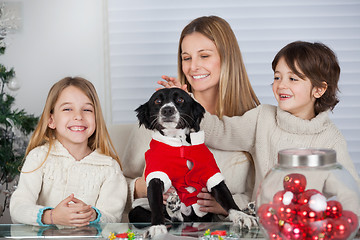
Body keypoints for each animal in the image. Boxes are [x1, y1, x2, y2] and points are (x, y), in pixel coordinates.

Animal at [131, 87, 258, 236]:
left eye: (180, 99)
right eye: (157, 101)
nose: (167, 110)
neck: (179, 144)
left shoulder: (210, 173)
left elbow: (227, 199)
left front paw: (242, 216)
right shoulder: (156, 176)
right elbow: (156, 203)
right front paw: (157, 226)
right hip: (136, 211)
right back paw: (172, 208)